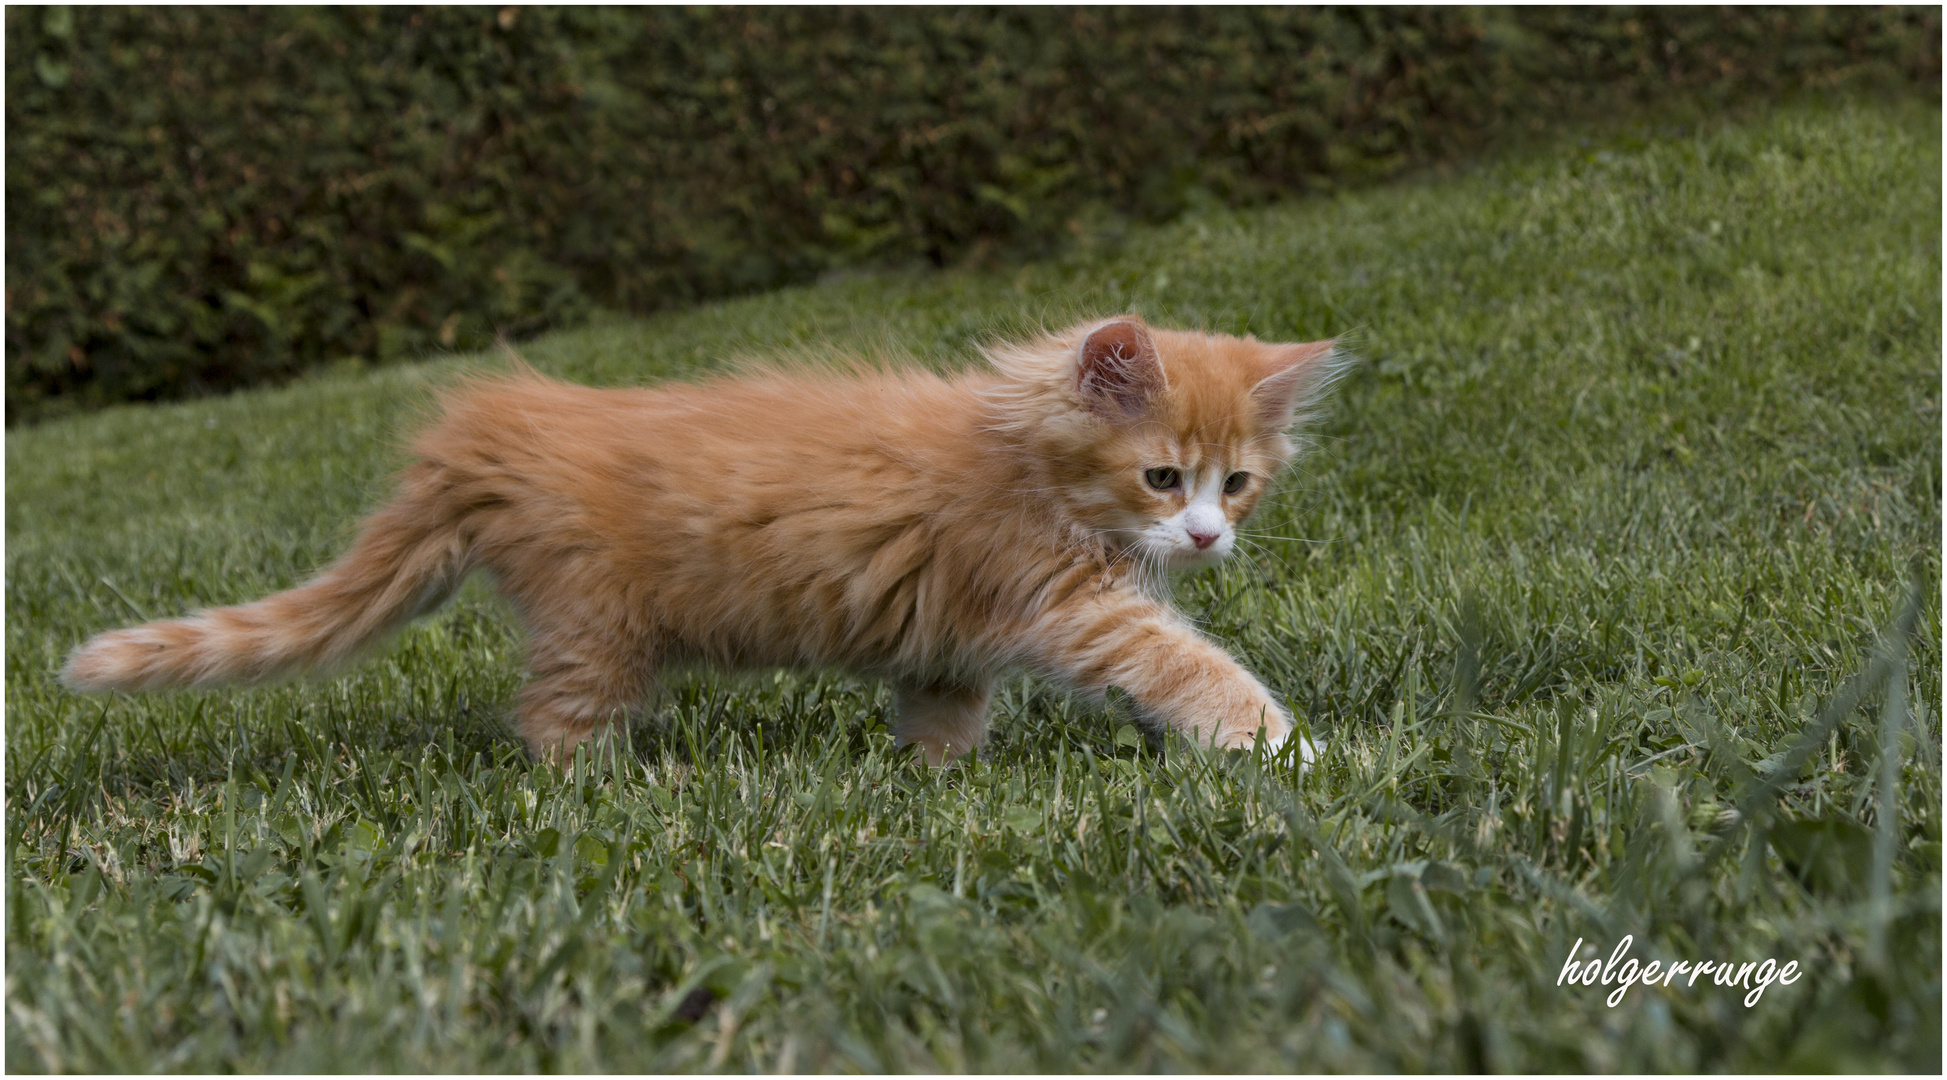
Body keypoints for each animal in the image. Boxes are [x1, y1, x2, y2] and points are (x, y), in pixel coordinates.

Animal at [60, 317, 1339, 766]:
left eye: (1239, 484)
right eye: (1162, 476)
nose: (1207, 536)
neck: (1026, 457)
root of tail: (494, 427)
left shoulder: (951, 636)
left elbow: (941, 708)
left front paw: (936, 781)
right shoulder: (1063, 597)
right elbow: (1185, 663)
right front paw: (1287, 748)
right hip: (599, 625)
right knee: (550, 722)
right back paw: (592, 794)